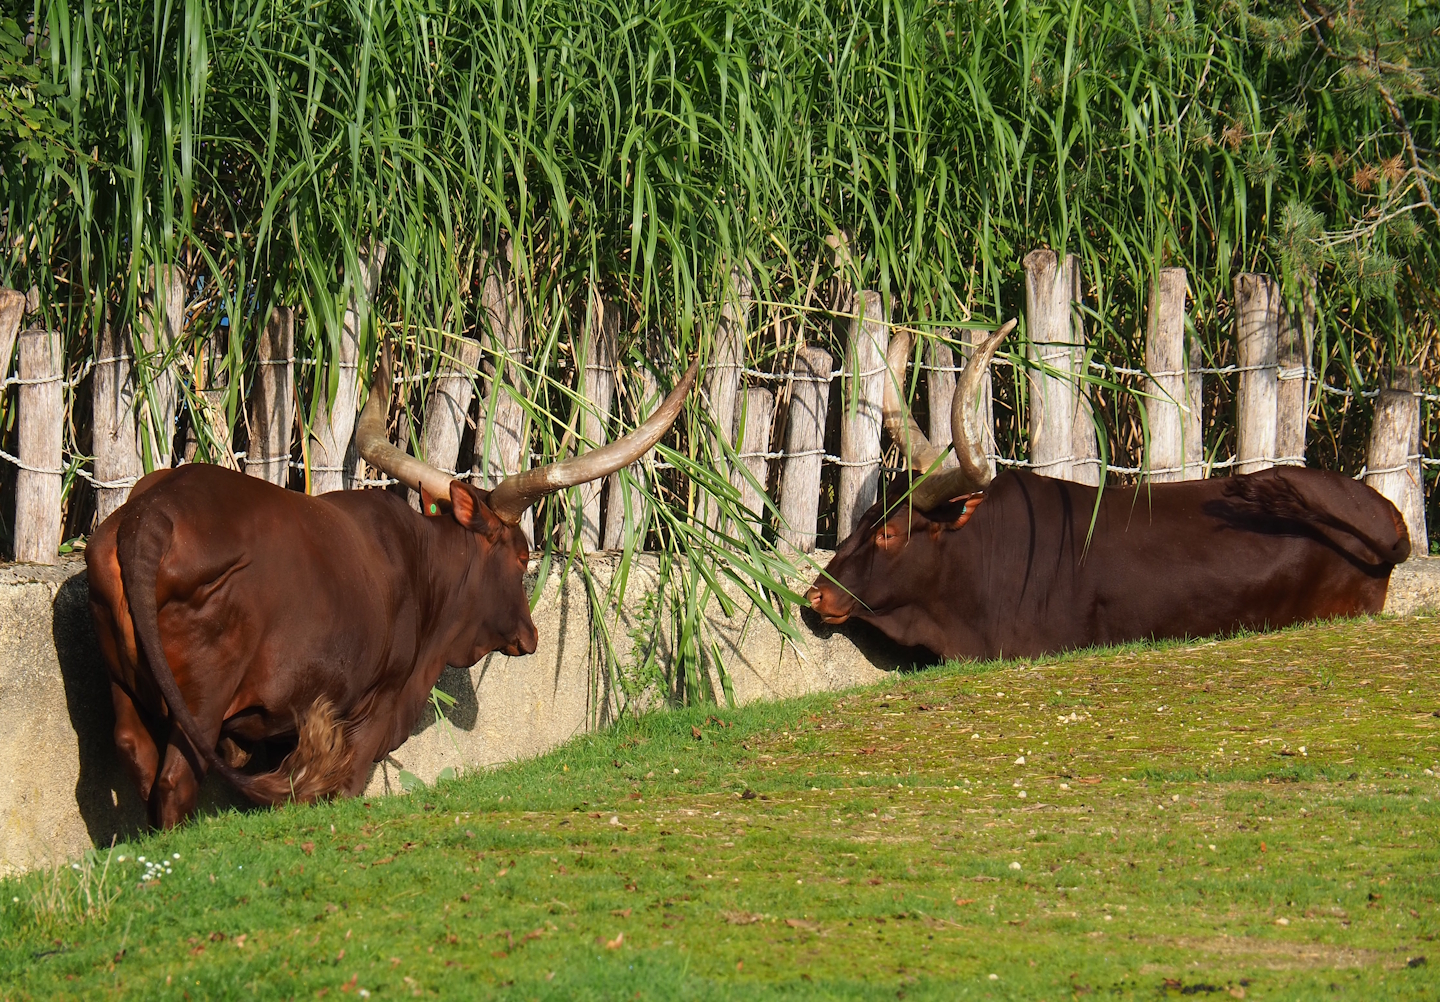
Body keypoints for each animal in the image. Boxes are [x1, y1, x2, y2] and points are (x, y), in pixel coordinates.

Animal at [87, 346, 697, 827]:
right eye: (523, 556)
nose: (530, 637)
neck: (421, 565)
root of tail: (150, 516)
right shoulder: (367, 714)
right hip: (201, 703)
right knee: (174, 783)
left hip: (125, 689)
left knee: (138, 759)